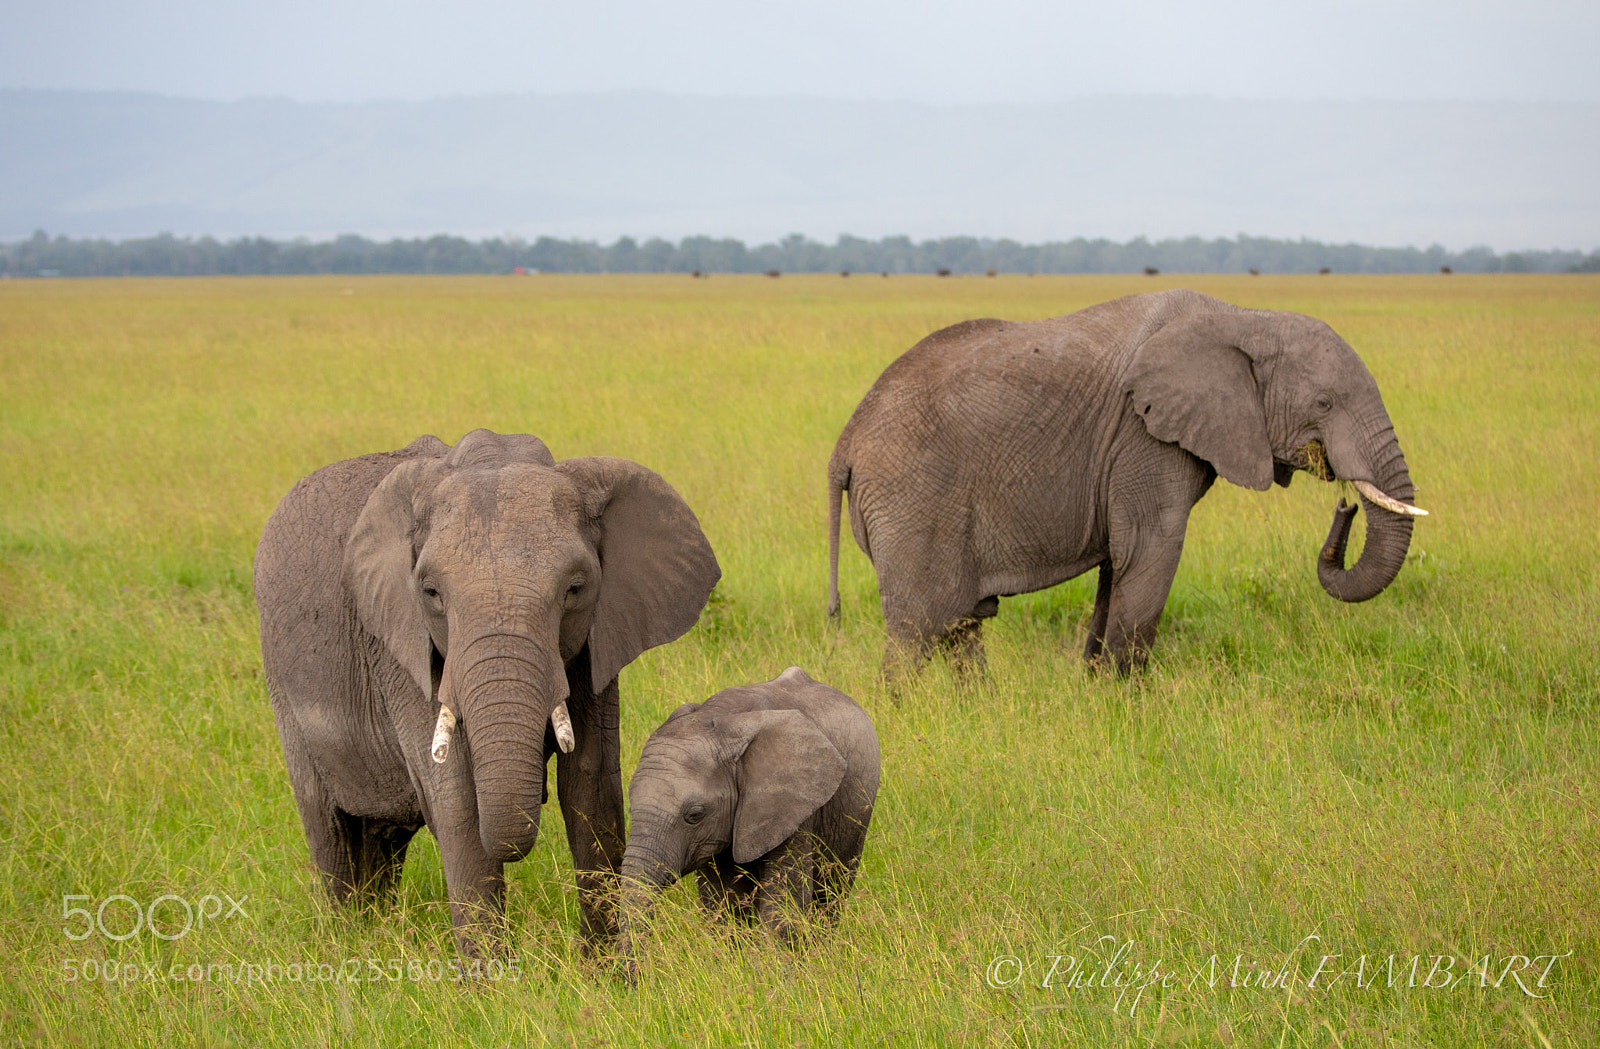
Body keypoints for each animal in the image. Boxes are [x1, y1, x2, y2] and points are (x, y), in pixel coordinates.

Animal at [253, 428, 720, 956]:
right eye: (431, 593)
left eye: (575, 588)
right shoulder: (402, 650)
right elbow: (457, 801)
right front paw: (492, 978)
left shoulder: (597, 641)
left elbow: (592, 787)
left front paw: (603, 970)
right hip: (284, 689)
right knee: (332, 834)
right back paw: (348, 942)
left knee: (381, 845)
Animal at [616, 666, 879, 978]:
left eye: (694, 815)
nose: (636, 980)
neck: (723, 722)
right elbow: (724, 902)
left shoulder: (794, 804)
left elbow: (782, 902)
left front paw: (772, 975)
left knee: (831, 892)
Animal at [826, 288, 1427, 676]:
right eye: (1324, 404)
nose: (1345, 506)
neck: (1243, 317)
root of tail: (844, 445)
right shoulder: (1143, 437)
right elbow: (1150, 549)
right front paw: (1124, 704)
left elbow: (1119, 564)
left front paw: (1093, 690)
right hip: (912, 500)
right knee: (917, 633)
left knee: (960, 625)